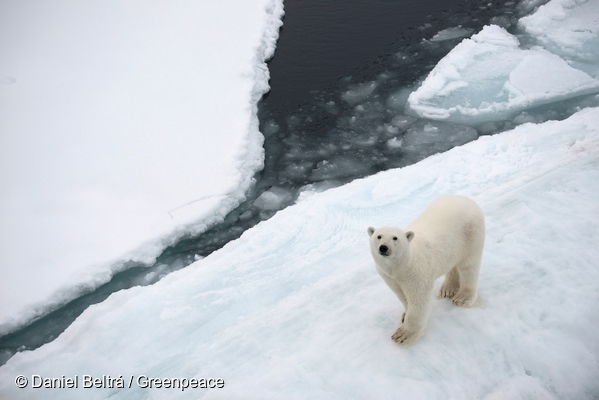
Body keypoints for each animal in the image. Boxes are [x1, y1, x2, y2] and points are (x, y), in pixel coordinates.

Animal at [366, 195, 488, 346]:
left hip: (470, 233)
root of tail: (465, 199)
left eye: (395, 238)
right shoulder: (389, 276)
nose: (383, 247)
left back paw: (462, 297)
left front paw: (403, 334)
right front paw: (404, 314)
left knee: (468, 265)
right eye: (379, 236)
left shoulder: (416, 273)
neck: (402, 265)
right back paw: (447, 289)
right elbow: (401, 295)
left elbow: (418, 300)